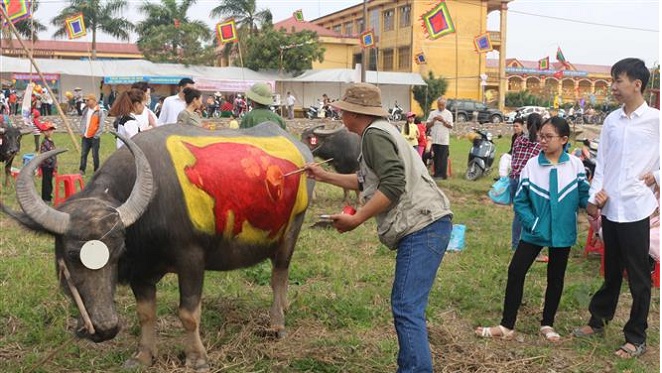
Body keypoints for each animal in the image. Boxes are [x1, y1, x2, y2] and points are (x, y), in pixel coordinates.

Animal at [3, 122, 314, 370]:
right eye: (70, 254)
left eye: (117, 251)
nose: (106, 328)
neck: (150, 210)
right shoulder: (141, 272)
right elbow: (145, 314)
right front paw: (143, 356)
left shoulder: (191, 260)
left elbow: (188, 314)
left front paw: (197, 359)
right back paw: (285, 307)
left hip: (291, 232)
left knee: (278, 275)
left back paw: (277, 323)